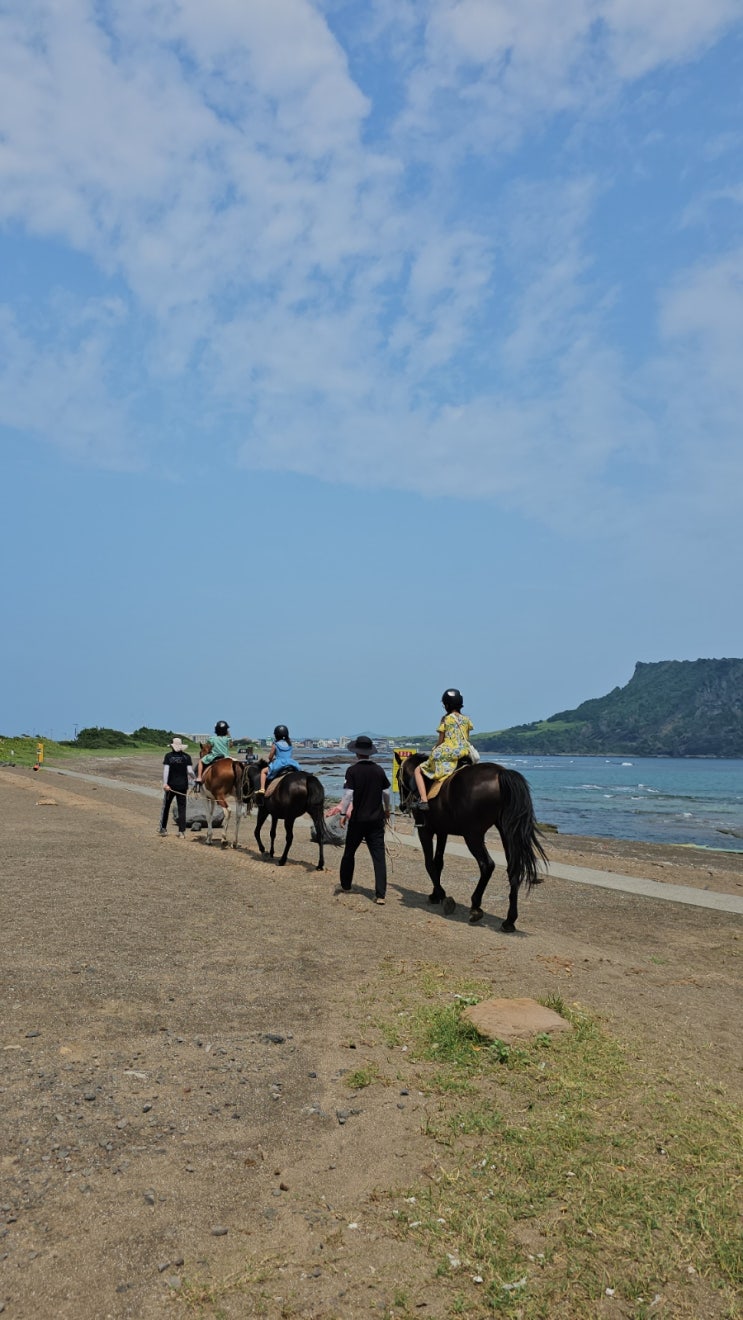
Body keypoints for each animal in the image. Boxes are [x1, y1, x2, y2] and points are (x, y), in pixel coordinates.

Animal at [398, 755, 549, 929]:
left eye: (397, 777)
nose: (402, 806)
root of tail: (501, 773)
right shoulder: (442, 832)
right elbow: (438, 862)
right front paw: (435, 894)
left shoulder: (425, 831)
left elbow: (429, 863)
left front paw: (441, 895)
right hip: (506, 832)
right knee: (513, 869)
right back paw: (509, 920)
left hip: (472, 836)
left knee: (487, 865)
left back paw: (476, 906)